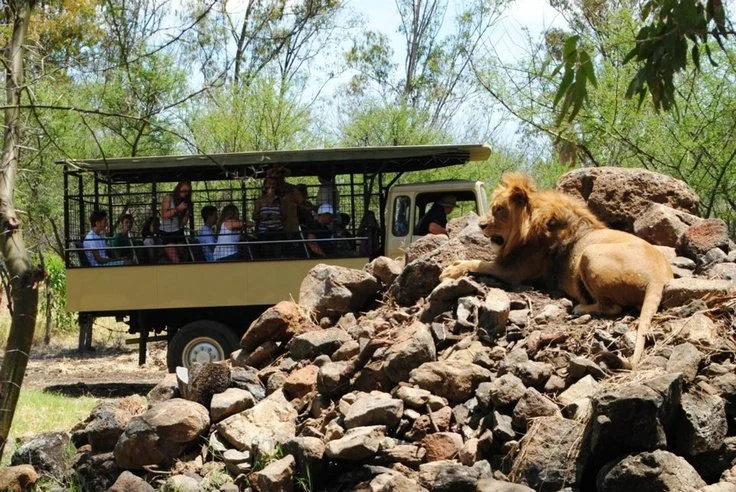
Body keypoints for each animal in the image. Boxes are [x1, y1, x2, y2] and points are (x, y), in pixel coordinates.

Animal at [440, 172, 673, 367]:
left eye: (499, 209)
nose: (481, 225)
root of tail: (658, 277)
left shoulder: (513, 271)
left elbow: (478, 262)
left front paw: (451, 270)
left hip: (589, 254)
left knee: (612, 307)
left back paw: (580, 308)